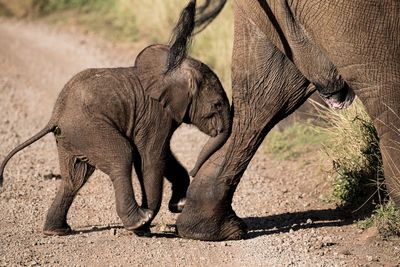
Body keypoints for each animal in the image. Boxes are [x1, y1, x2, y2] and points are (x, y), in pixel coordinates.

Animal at [0, 44, 231, 237]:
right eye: (217, 105)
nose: (194, 171)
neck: (175, 70)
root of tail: (56, 114)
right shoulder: (156, 114)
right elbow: (151, 158)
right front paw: (145, 228)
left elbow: (164, 155)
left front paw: (178, 205)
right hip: (89, 129)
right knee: (122, 156)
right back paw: (138, 220)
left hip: (72, 137)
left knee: (75, 177)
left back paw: (56, 231)